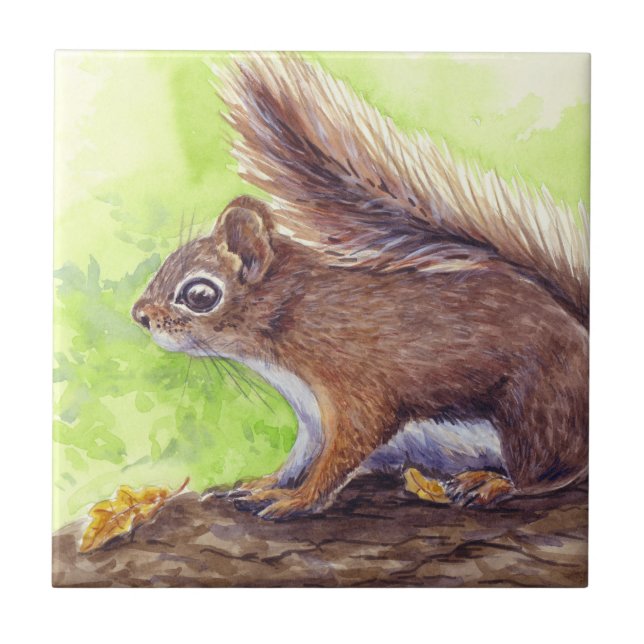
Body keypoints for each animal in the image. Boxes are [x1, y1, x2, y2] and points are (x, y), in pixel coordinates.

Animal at [132, 54, 589, 520]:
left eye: (200, 295)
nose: (140, 316)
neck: (294, 311)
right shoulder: (311, 416)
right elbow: (301, 457)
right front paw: (265, 484)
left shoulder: (358, 387)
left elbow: (341, 453)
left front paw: (297, 500)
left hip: (535, 416)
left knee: (550, 474)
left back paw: (492, 482)